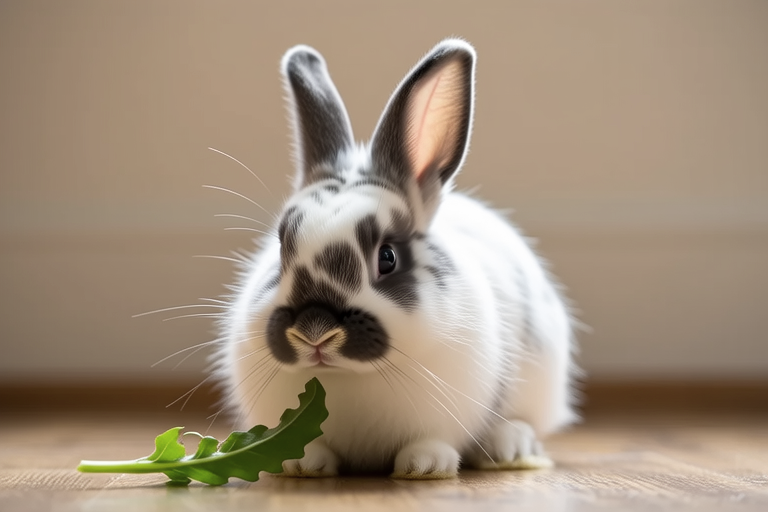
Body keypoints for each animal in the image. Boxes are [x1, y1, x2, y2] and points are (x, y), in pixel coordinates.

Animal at [214, 38, 579, 479]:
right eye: (282, 249)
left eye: (387, 257)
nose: (314, 331)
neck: (350, 378)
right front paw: (303, 464)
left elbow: (431, 440)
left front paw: (424, 466)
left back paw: (509, 447)